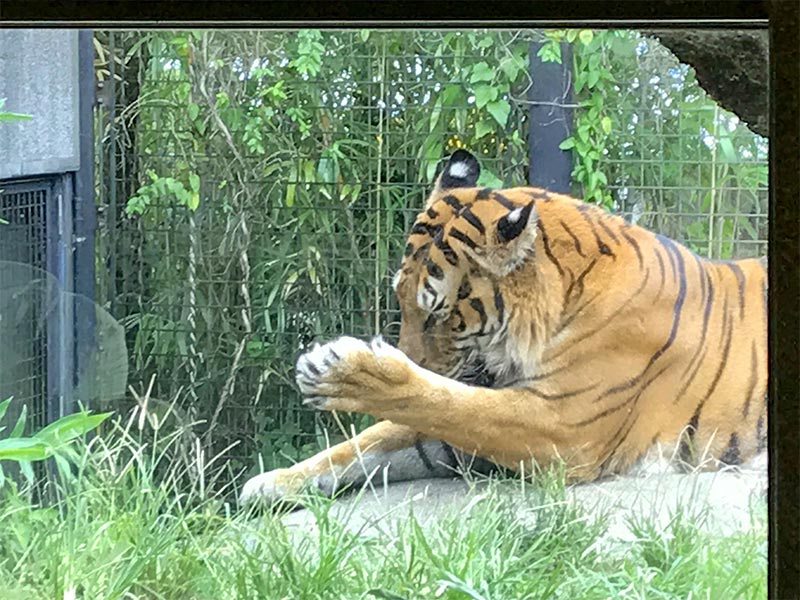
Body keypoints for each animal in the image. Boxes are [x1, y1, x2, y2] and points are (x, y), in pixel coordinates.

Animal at [239, 148, 768, 504]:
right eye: (400, 301)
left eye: (436, 311)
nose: (410, 355)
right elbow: (371, 441)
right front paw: (268, 483)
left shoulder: (565, 428)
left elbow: (443, 403)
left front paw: (346, 372)